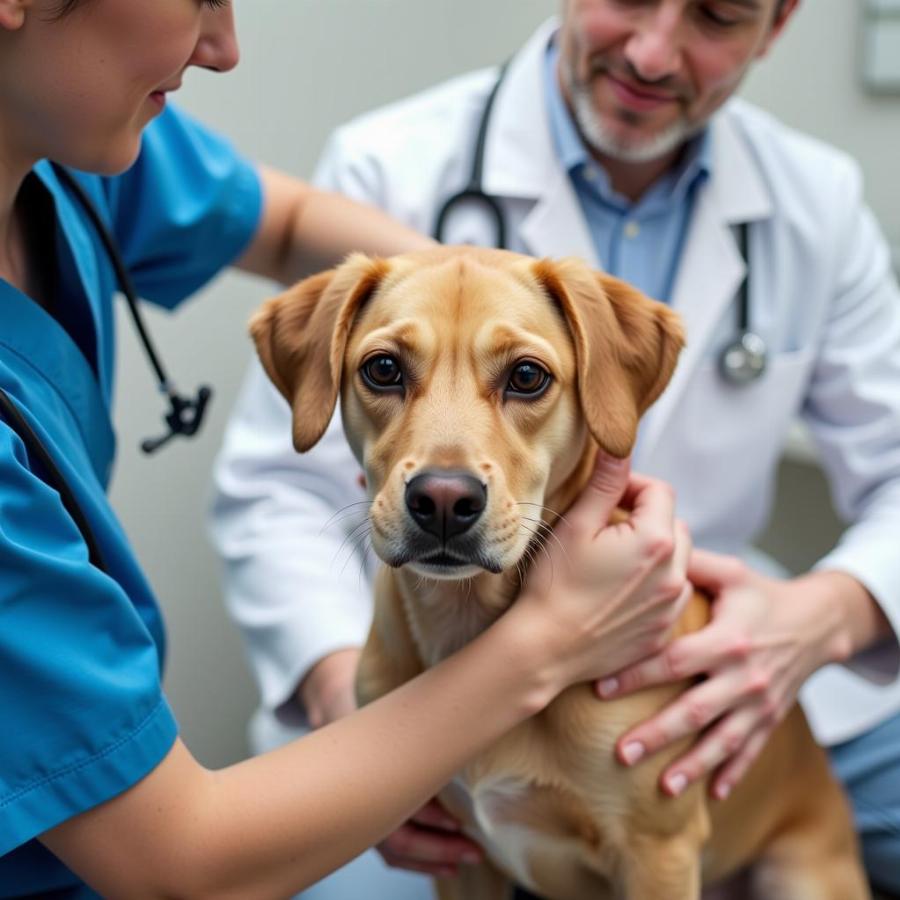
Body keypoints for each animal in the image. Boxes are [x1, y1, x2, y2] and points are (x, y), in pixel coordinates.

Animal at [250, 248, 868, 900]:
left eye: (527, 377)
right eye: (383, 368)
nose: (443, 500)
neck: (468, 634)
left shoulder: (658, 852)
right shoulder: (461, 857)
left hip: (799, 874)